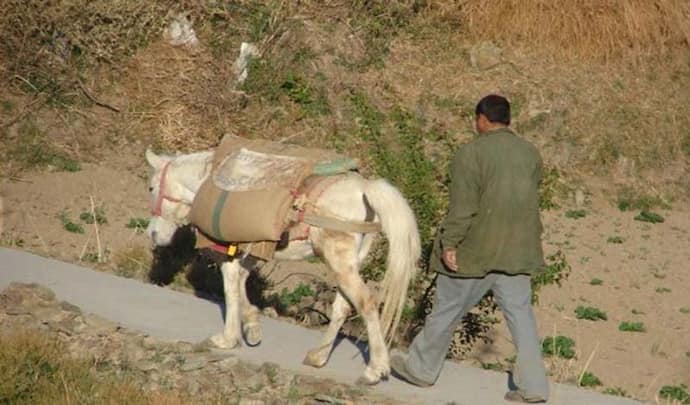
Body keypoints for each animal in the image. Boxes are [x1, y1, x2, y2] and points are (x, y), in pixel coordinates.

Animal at [144, 148, 420, 382]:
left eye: (151, 187)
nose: (153, 234)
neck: (209, 182)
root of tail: (364, 189)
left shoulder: (230, 248)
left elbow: (230, 285)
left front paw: (227, 338)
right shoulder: (252, 249)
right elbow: (241, 282)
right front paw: (252, 327)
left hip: (339, 260)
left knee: (365, 303)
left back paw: (375, 369)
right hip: (350, 264)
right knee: (343, 306)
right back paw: (318, 356)